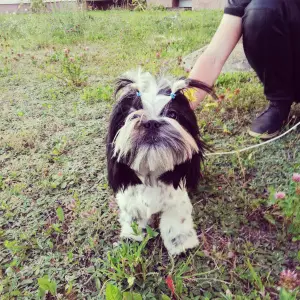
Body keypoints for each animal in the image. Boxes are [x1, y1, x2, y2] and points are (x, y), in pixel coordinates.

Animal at [106, 69, 214, 254]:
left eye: (172, 114)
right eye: (132, 114)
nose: (151, 122)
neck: (151, 173)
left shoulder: (176, 200)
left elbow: (177, 221)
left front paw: (181, 243)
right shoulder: (130, 199)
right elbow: (132, 217)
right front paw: (131, 236)